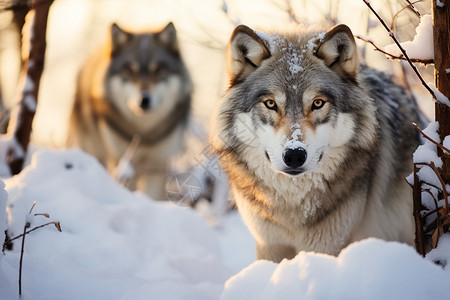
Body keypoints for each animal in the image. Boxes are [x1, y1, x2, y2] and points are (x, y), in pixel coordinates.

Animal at [68, 22, 192, 200]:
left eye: (158, 70)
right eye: (129, 71)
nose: (144, 99)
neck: (144, 133)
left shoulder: (156, 165)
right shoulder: (123, 163)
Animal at [209, 24, 424, 262]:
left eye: (318, 103)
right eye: (271, 104)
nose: (294, 155)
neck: (292, 205)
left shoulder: (327, 245)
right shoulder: (269, 244)